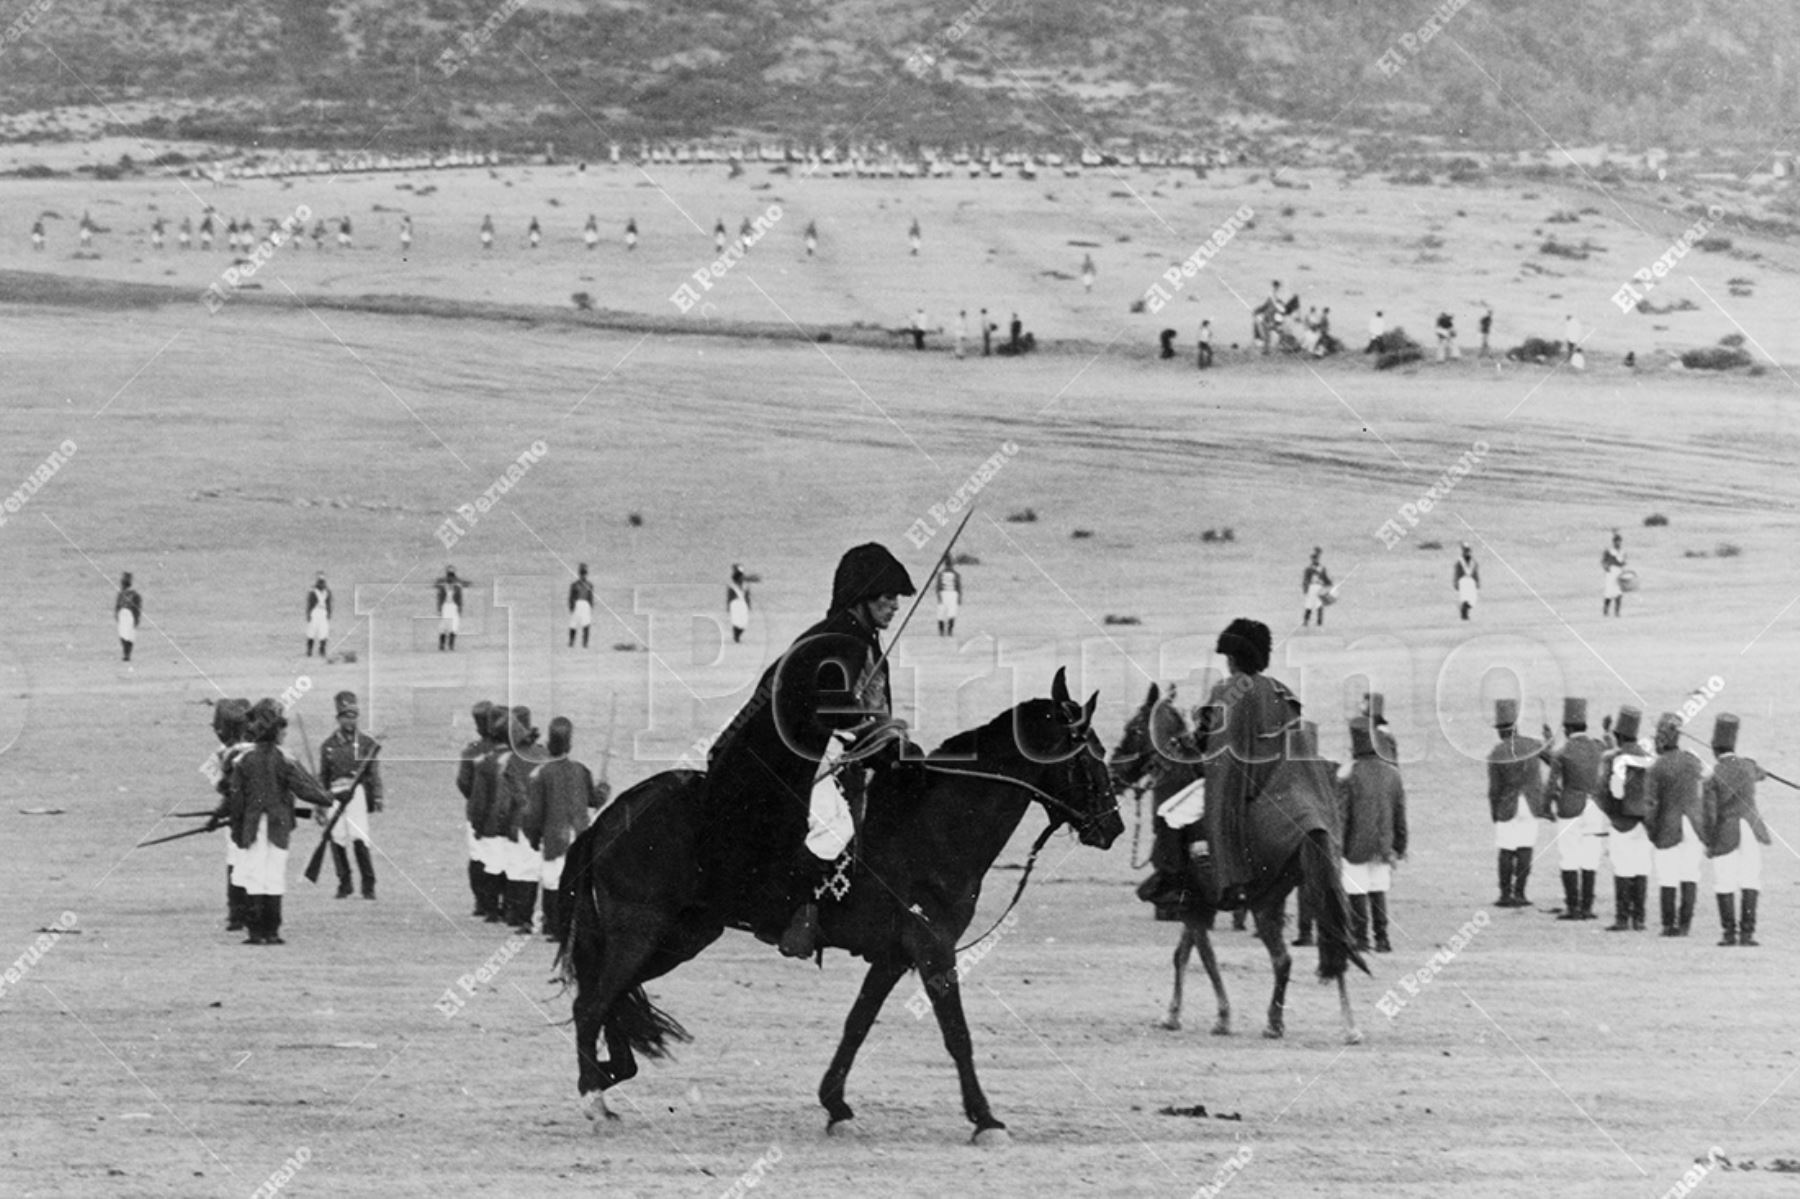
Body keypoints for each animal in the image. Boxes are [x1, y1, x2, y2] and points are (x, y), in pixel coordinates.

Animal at [554, 666, 1123, 1144]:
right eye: (1089, 755)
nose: (1112, 826)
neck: (935, 822)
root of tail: (612, 814)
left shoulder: (893, 956)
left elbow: (857, 1026)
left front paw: (836, 1106)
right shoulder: (933, 948)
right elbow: (957, 1034)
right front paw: (985, 1119)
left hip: (682, 936)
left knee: (614, 997)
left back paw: (611, 1073)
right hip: (641, 931)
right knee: (593, 1002)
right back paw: (593, 1097)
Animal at [1108, 680, 1360, 1036]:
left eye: (1133, 729)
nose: (1113, 773)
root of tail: (1310, 830)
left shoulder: (1195, 902)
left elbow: (1202, 957)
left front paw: (1220, 1017)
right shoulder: (1199, 903)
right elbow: (1183, 954)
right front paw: (1174, 1014)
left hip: (1266, 902)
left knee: (1283, 959)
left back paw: (1277, 1022)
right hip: (1318, 886)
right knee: (1333, 944)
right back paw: (1347, 1025)